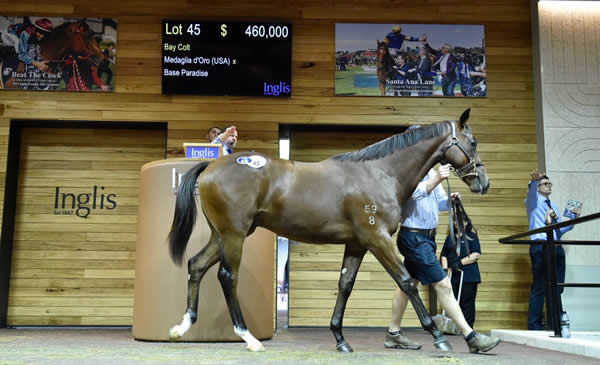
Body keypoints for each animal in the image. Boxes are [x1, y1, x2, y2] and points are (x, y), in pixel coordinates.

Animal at [168, 108, 488, 350]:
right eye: (472, 142)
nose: (483, 182)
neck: (380, 173)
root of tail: (211, 166)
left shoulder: (357, 244)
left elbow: (345, 285)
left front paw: (340, 338)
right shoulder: (377, 239)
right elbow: (407, 281)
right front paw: (437, 336)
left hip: (222, 234)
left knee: (196, 265)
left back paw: (181, 327)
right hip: (234, 234)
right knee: (227, 276)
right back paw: (248, 338)